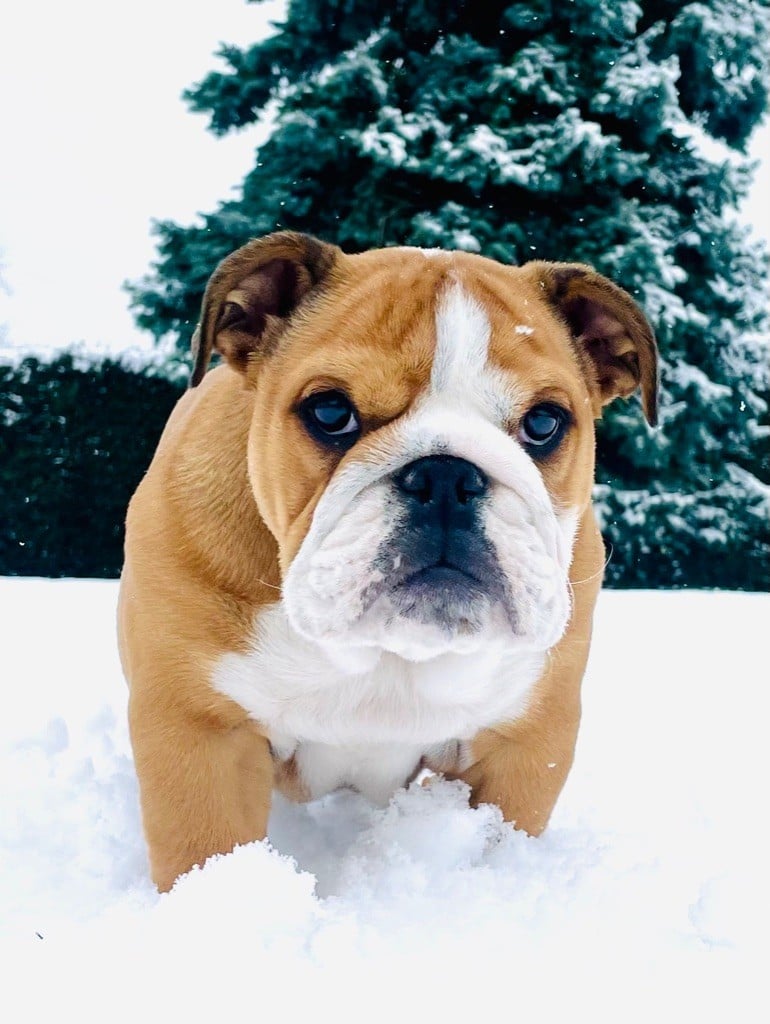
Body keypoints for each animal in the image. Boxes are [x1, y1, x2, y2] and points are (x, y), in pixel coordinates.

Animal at [118, 231, 657, 892]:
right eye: (329, 412)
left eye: (543, 422)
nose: (447, 476)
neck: (389, 653)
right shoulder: (199, 734)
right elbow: (207, 853)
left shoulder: (525, 744)